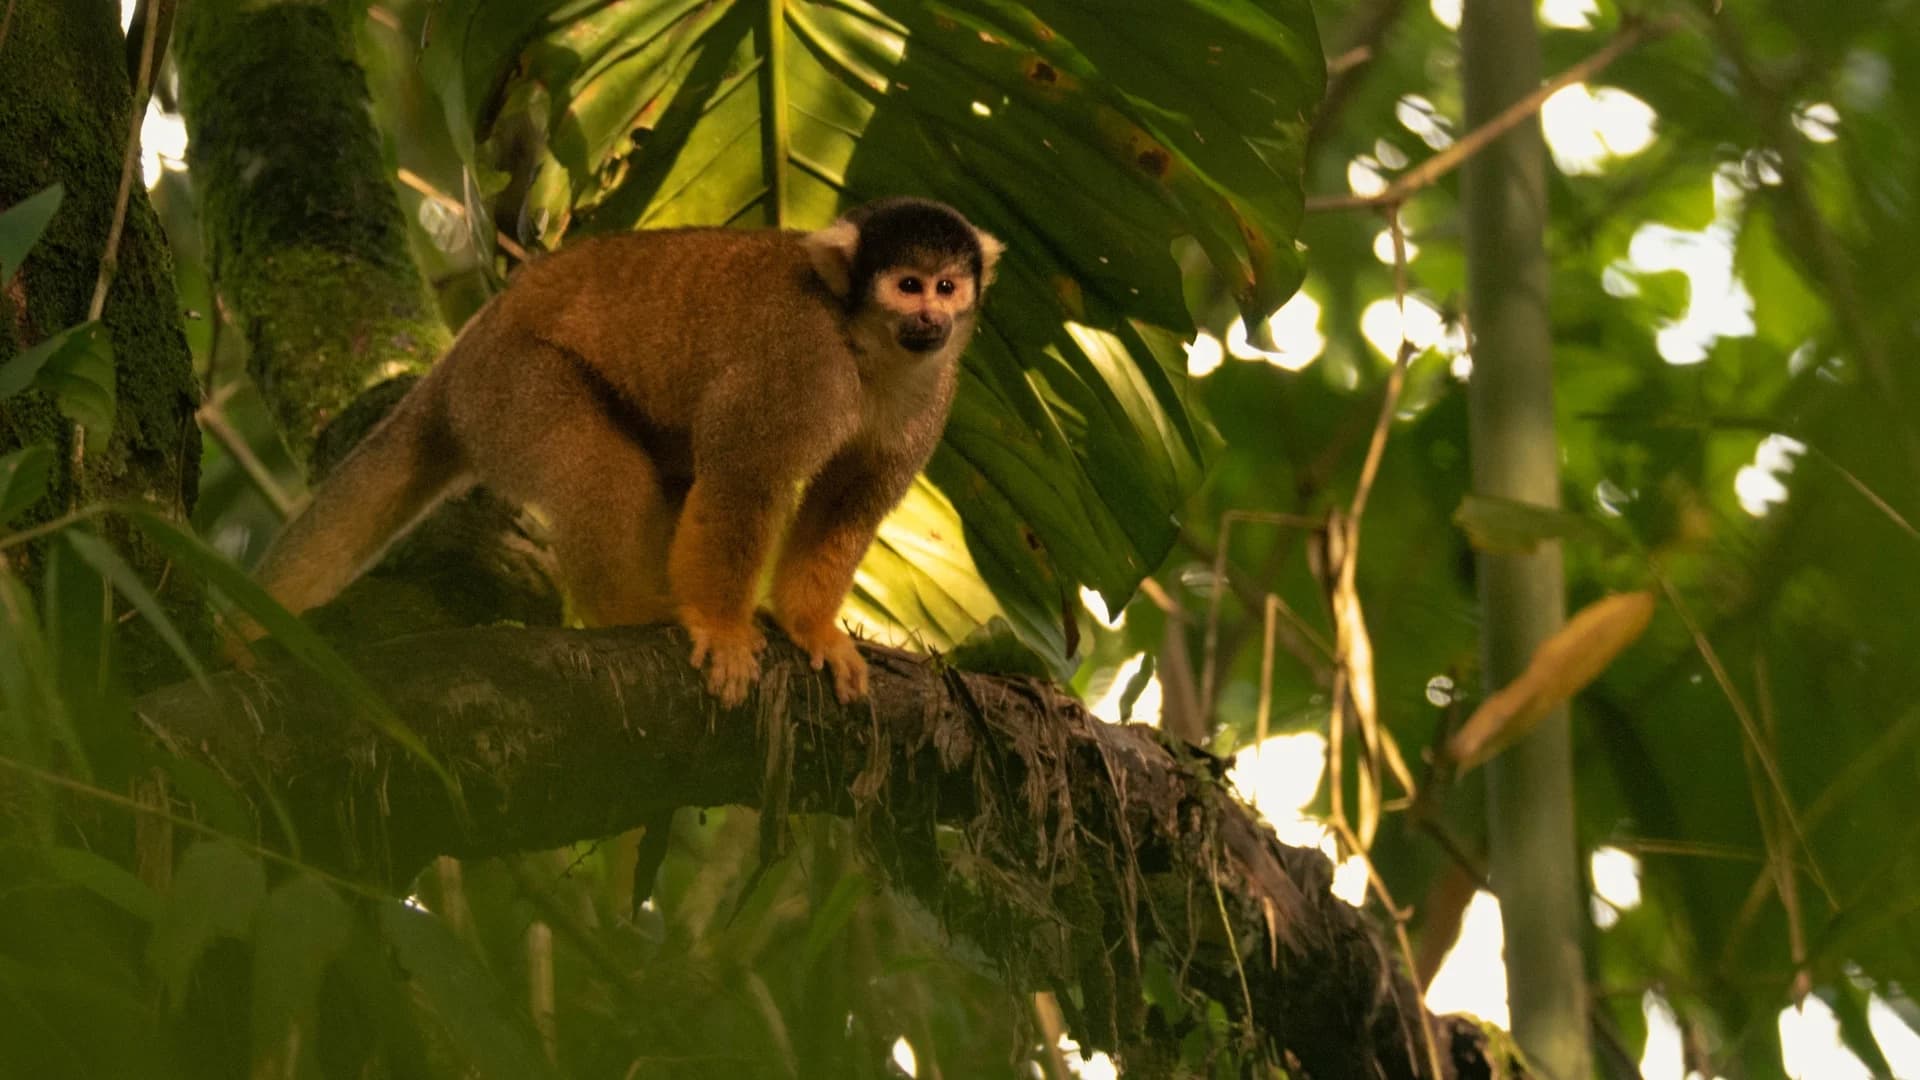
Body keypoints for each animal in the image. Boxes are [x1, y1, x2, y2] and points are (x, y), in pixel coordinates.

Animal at [243, 197, 1002, 707]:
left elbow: (846, 506)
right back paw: (627, 608)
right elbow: (744, 477)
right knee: (606, 470)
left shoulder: (932, 391)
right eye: (908, 285)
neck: (863, 345)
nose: (931, 318)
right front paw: (723, 627)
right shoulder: (797, 361)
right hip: (511, 386)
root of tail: (464, 353)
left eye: (947, 286)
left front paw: (811, 628)